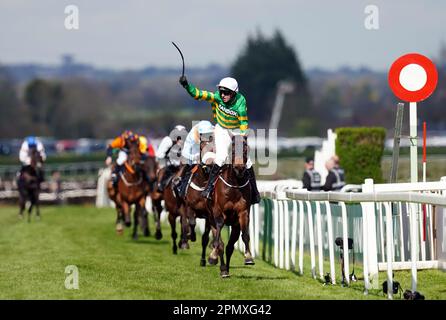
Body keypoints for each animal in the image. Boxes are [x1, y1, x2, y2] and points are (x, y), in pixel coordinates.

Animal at [206, 135, 253, 278]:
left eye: (245, 148)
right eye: (232, 148)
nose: (239, 168)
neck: (234, 185)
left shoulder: (243, 212)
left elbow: (245, 235)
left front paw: (248, 257)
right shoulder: (218, 213)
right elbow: (218, 241)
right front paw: (213, 257)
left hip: (235, 225)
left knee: (230, 246)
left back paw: (226, 268)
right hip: (210, 218)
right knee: (220, 243)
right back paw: (221, 267)